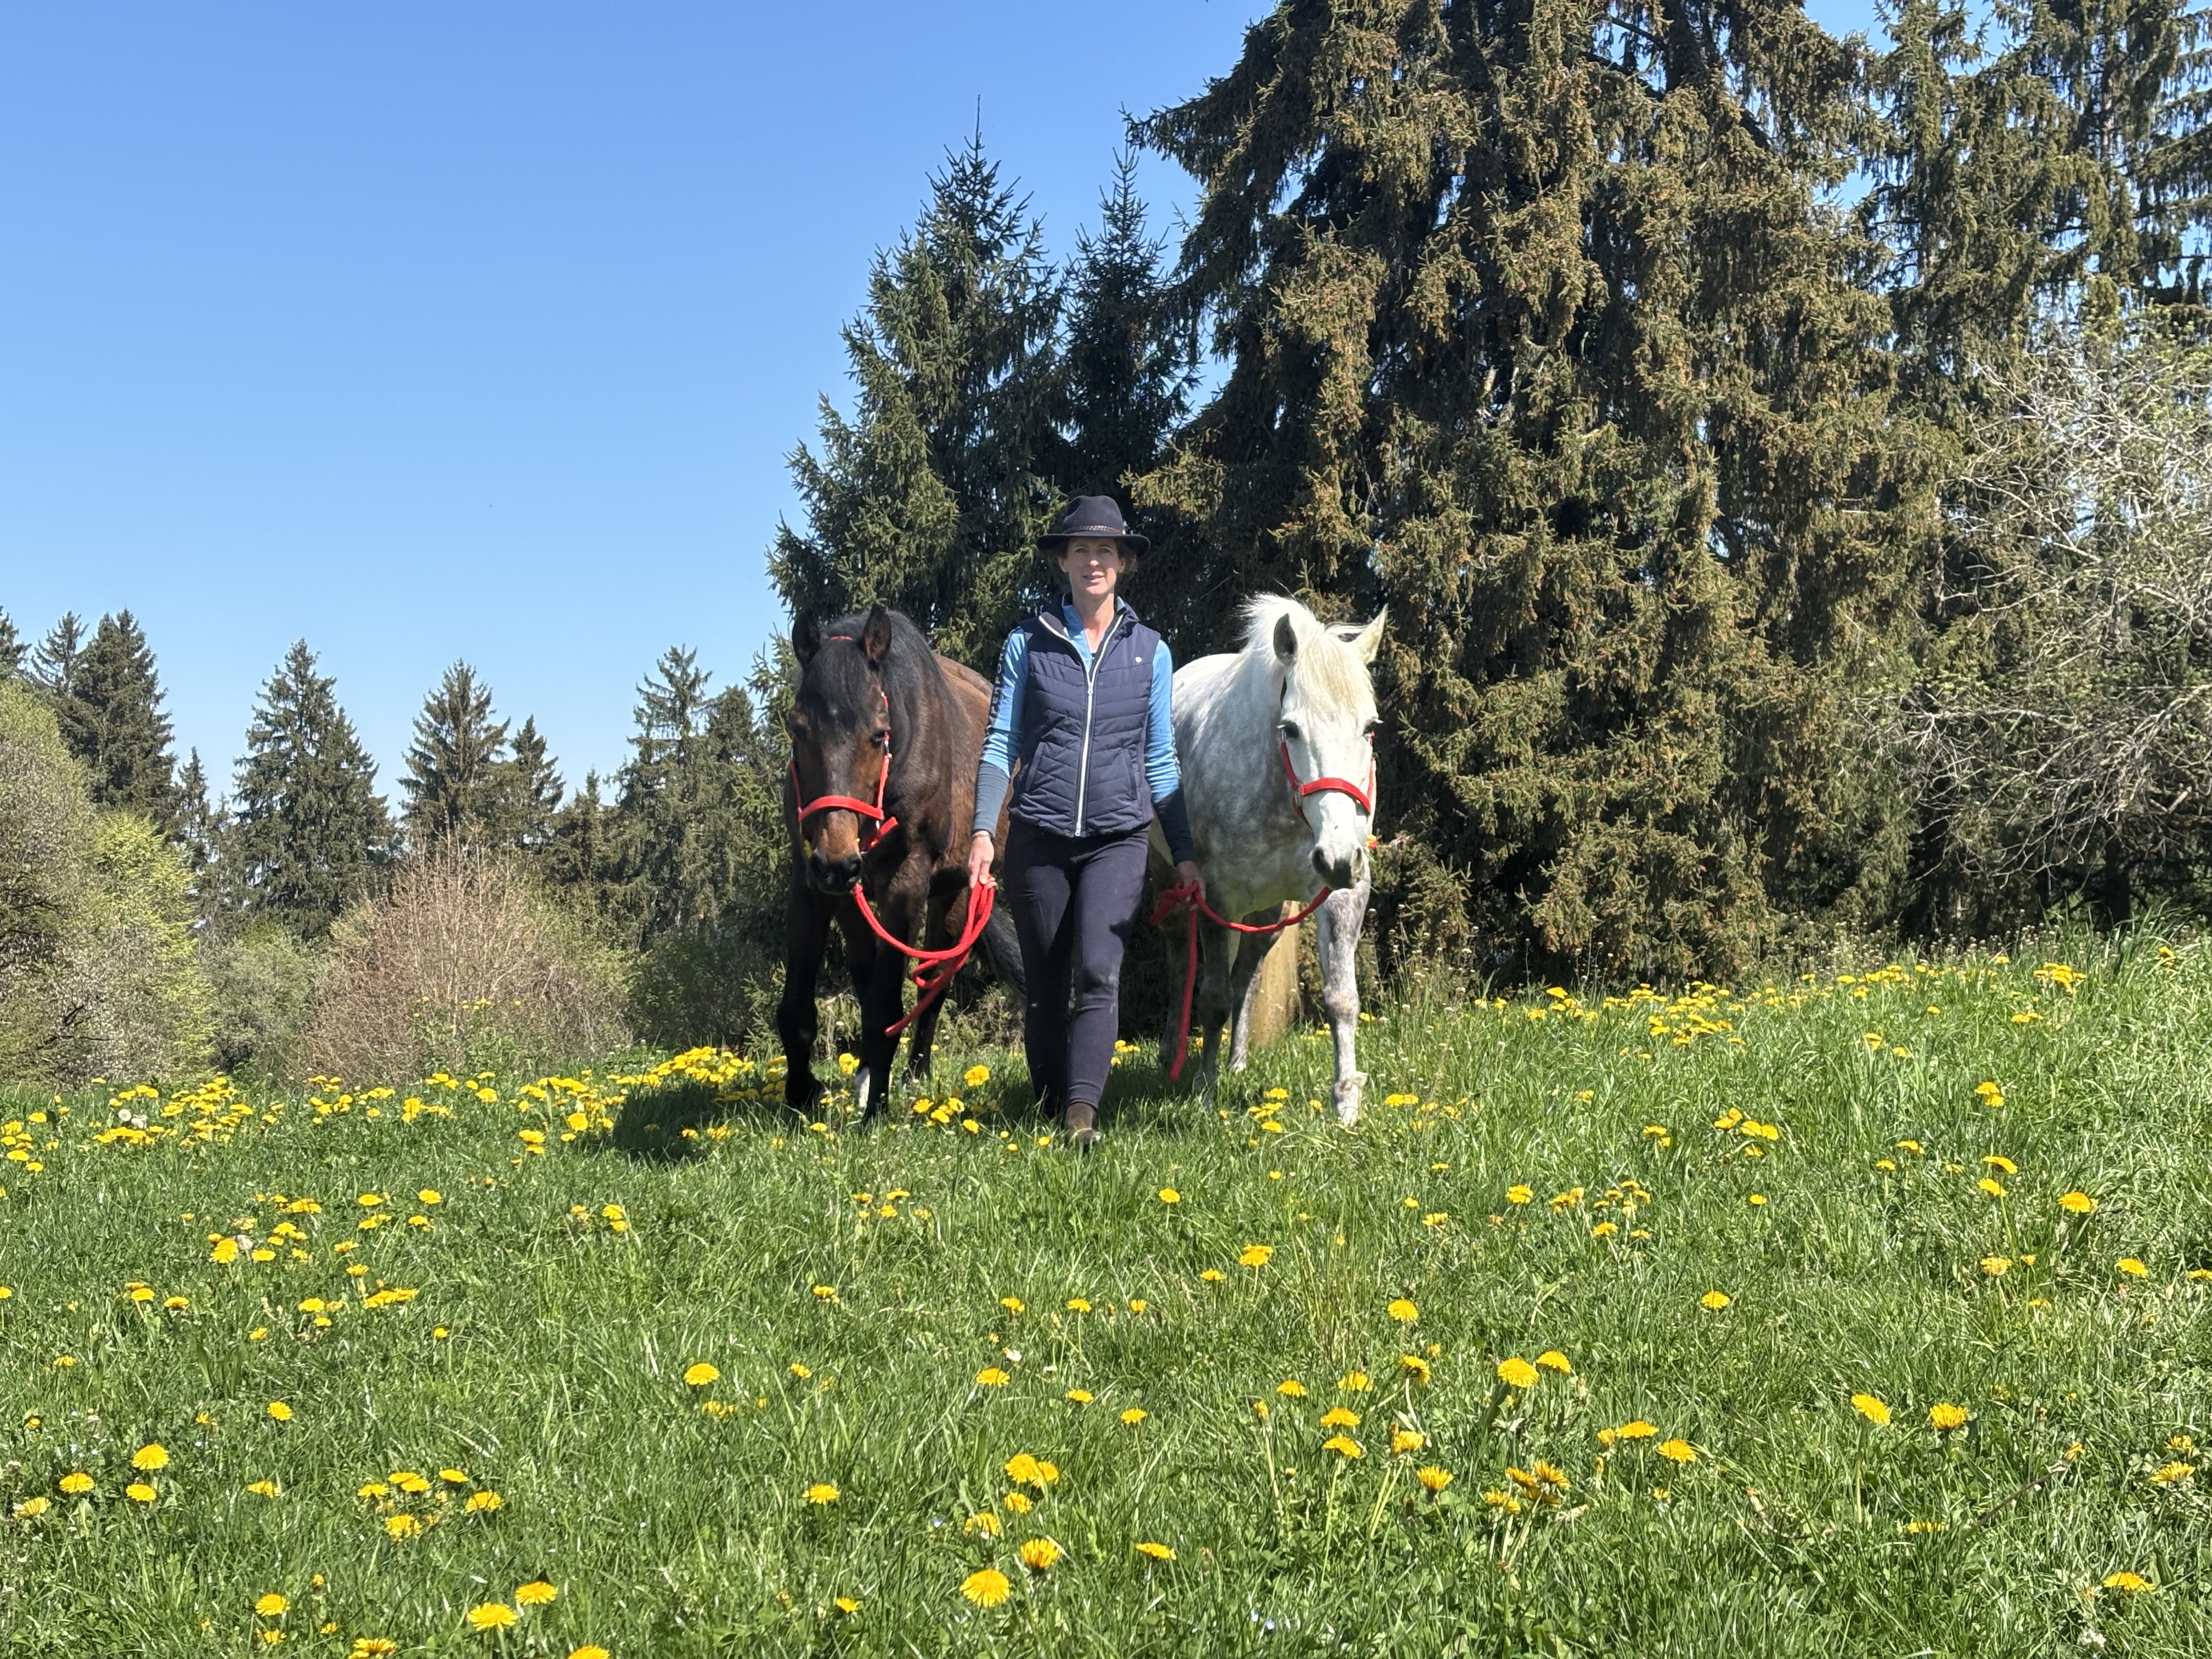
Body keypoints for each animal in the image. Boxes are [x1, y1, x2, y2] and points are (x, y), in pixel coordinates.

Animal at [778, 604, 1020, 1119]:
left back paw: (914, 1076)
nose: (837, 861)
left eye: (878, 734)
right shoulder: (810, 882)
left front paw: (876, 1113)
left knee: (932, 986)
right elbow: (797, 1012)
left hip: (953, 893)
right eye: (797, 729)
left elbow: (886, 1009)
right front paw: (801, 1096)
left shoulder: (907, 882)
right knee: (868, 968)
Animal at [1151, 595, 1385, 1125]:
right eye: (1291, 729)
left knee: (1249, 974)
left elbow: (1342, 998)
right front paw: (1205, 1092)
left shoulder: (1343, 893)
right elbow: (1212, 998)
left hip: (1270, 911)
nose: (1337, 858)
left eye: (1369, 728)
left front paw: (1346, 1101)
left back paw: (1237, 1061)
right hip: (1172, 883)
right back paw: (1171, 1054)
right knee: (1180, 959)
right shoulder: (1217, 897)